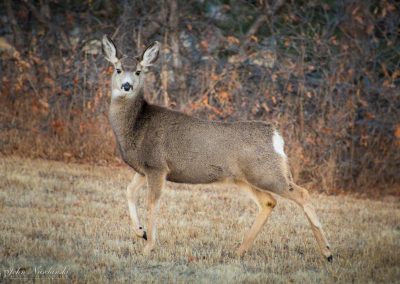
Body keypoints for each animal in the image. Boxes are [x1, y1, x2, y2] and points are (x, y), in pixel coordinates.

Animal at [101, 34, 332, 260]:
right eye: (118, 69)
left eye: (138, 71)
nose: (127, 86)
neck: (136, 125)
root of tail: (276, 136)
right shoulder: (144, 169)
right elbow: (129, 192)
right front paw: (141, 232)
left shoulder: (157, 166)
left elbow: (152, 204)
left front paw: (149, 246)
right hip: (245, 178)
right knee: (269, 202)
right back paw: (239, 250)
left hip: (266, 173)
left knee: (302, 193)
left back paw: (328, 252)